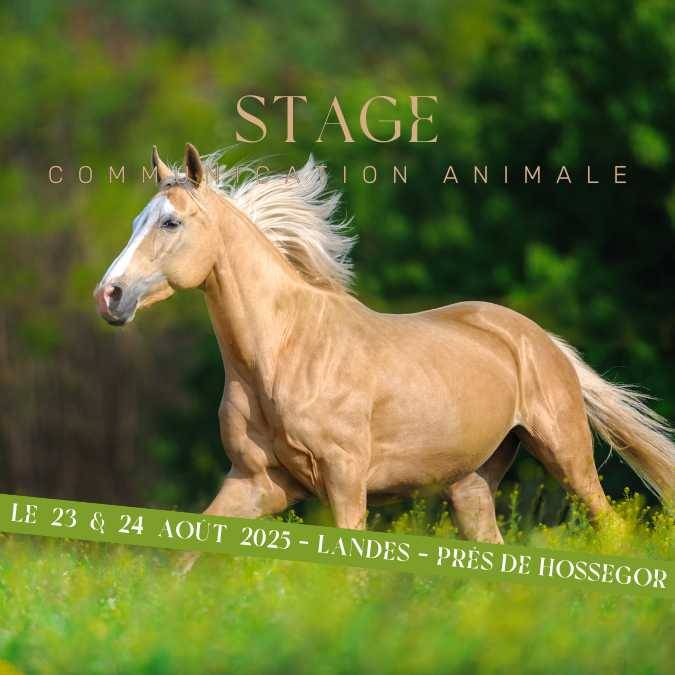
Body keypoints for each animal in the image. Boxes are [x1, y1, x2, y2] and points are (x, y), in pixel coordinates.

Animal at [95, 143, 674, 569]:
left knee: (611, 528)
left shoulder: (345, 479)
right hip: (470, 485)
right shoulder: (257, 483)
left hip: (566, 454)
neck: (282, 356)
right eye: (135, 221)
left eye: (170, 223)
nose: (109, 295)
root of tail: (540, 340)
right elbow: (187, 556)